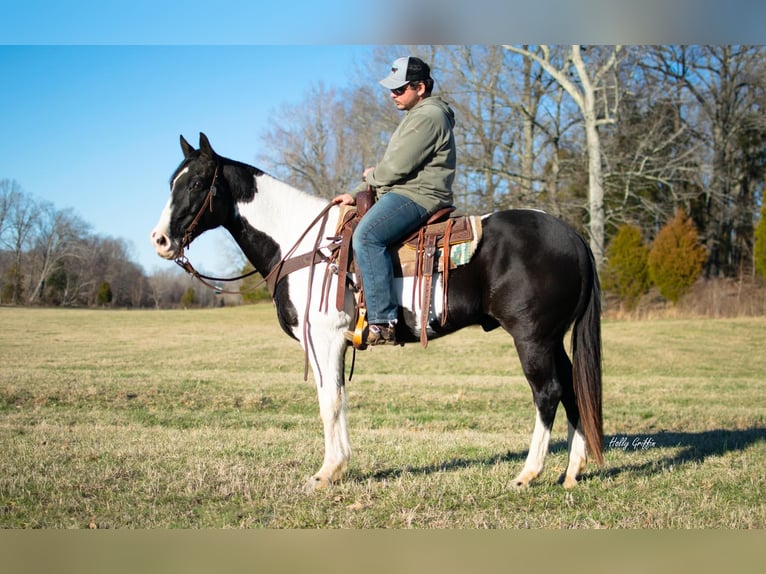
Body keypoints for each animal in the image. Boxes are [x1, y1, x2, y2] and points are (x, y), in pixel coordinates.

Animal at [150, 133, 608, 492]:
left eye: (196, 182)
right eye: (170, 182)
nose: (160, 240)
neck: (307, 246)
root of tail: (573, 236)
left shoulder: (324, 340)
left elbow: (330, 401)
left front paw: (327, 472)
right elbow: (335, 397)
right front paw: (336, 468)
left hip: (531, 337)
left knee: (547, 393)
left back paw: (528, 474)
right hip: (551, 338)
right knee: (572, 389)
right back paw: (572, 472)